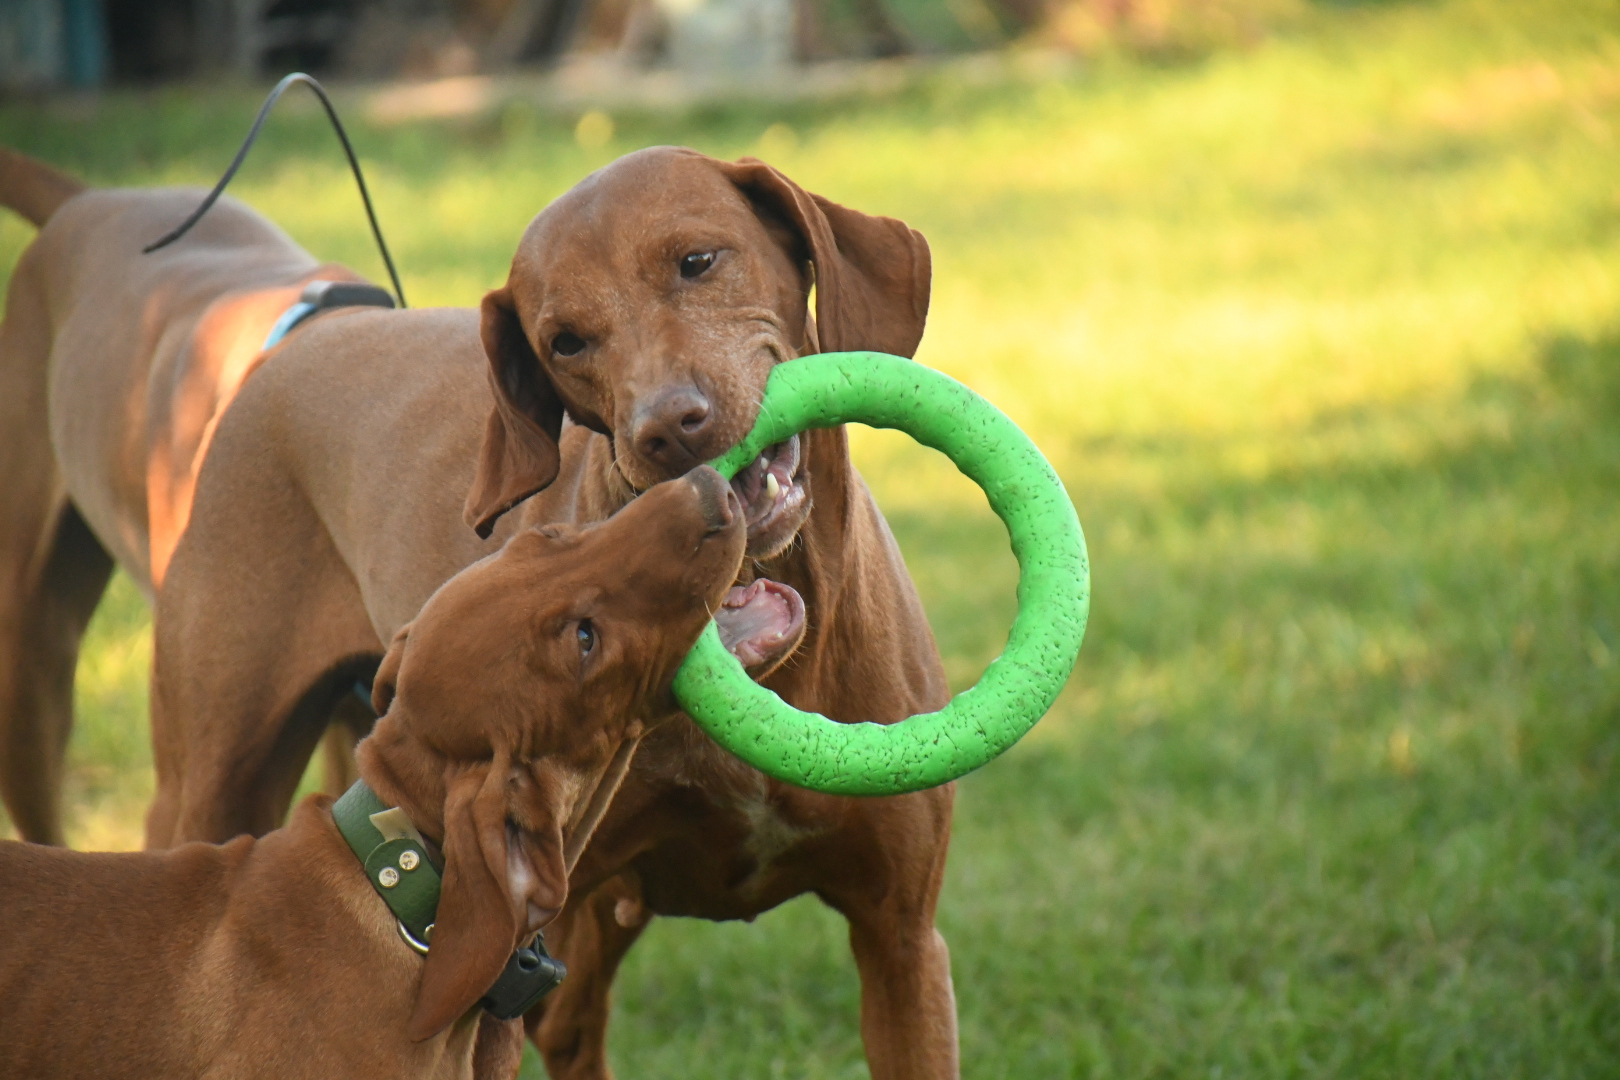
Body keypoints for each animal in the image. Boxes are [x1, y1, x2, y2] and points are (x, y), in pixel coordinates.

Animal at [0, 145, 952, 1080]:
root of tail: (303, 331)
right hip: (143, 742)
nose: (669, 432)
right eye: (564, 340)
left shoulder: (901, 941)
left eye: (697, 262)